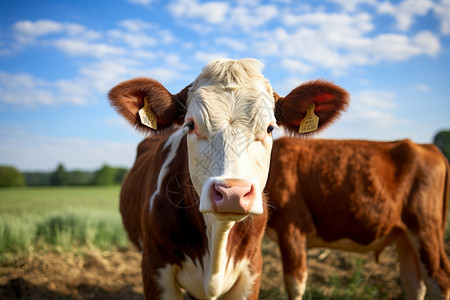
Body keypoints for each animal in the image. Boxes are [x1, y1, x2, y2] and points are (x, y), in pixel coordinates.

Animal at [264, 137, 450, 298]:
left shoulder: (292, 227)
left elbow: (295, 286)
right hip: (405, 237)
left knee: (439, 279)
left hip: (425, 227)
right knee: (415, 283)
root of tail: (427, 147)